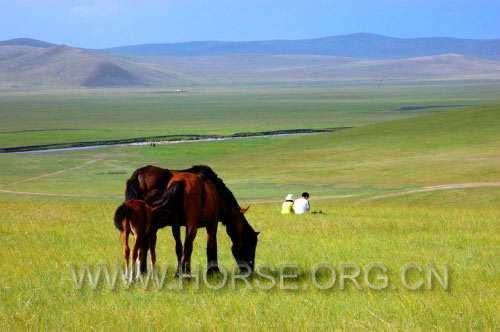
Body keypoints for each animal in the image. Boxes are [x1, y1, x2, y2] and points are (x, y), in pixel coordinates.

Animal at [123, 165, 260, 276]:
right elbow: (211, 246)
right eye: (250, 243)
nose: (250, 270)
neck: (216, 191)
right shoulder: (212, 223)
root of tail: (138, 175)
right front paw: (213, 271)